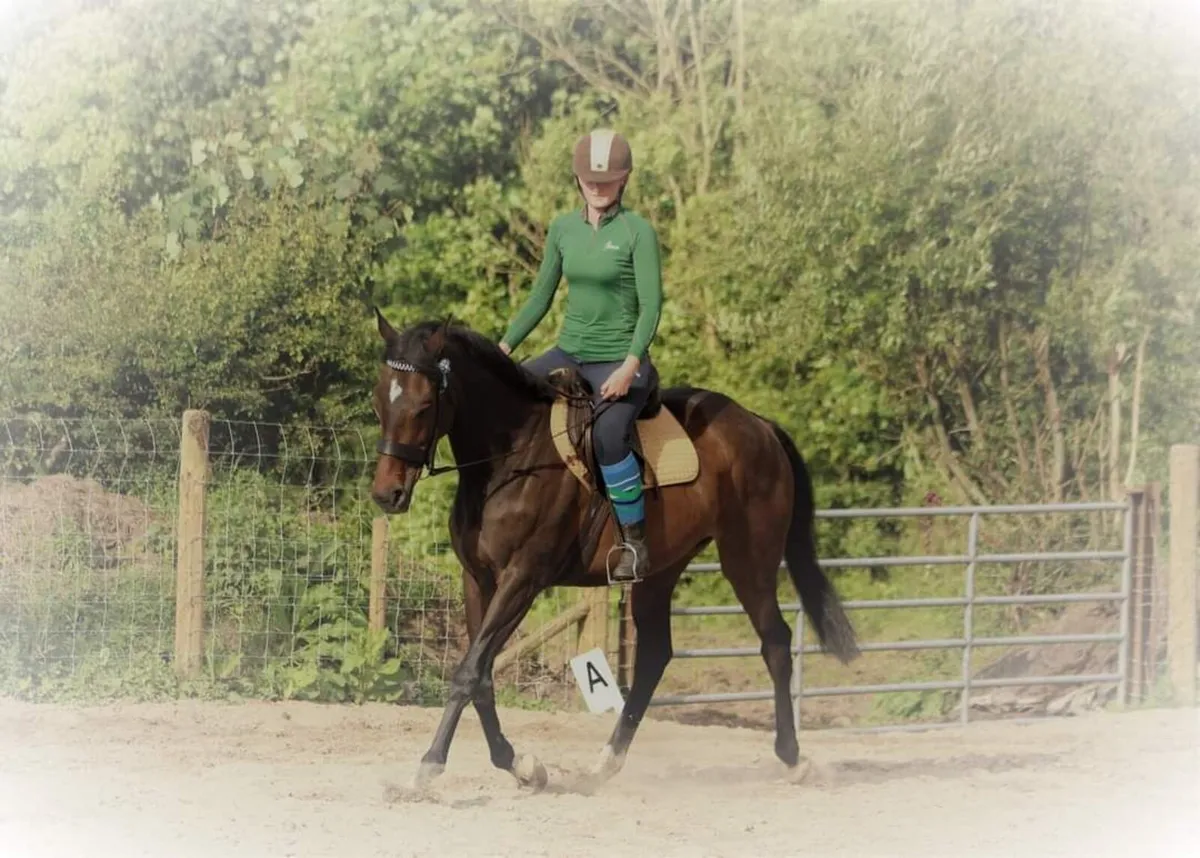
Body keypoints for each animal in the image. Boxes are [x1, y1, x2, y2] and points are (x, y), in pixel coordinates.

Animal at [369, 311, 859, 791]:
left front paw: (427, 768)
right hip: (660, 571)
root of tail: (759, 425)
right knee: (655, 654)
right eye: (379, 403)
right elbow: (481, 676)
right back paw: (605, 763)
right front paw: (521, 765)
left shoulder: (521, 579)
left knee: (775, 641)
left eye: (424, 406)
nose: (387, 494)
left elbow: (469, 672)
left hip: (747, 559)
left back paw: (793, 758)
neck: (510, 459)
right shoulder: (477, 578)